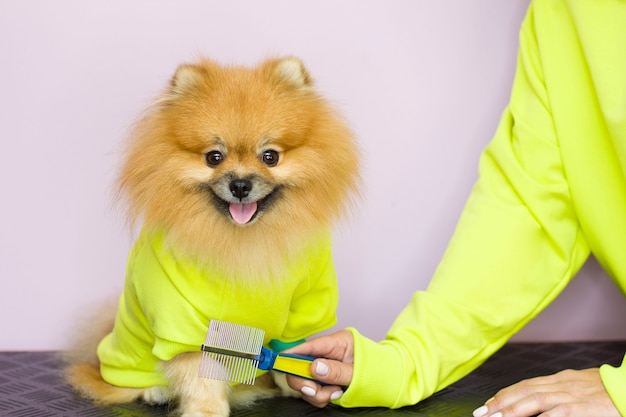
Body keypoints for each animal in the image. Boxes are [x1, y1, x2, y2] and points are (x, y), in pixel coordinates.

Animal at [64, 56, 358, 416]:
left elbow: (287, 351)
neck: (245, 240)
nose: (240, 184)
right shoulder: (181, 316)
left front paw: (299, 383)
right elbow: (197, 369)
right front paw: (207, 410)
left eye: (270, 156)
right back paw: (155, 391)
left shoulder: (304, 305)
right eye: (213, 157)